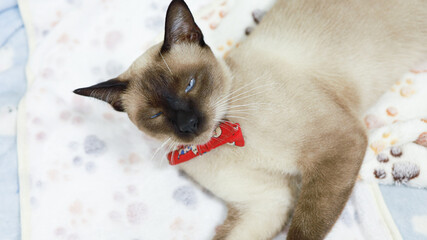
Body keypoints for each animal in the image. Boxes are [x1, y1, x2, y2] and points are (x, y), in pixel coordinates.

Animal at [73, 0, 427, 239]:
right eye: (156, 114)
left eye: (190, 84)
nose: (189, 125)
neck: (223, 138)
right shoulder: (268, 204)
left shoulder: (337, 145)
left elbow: (304, 228)